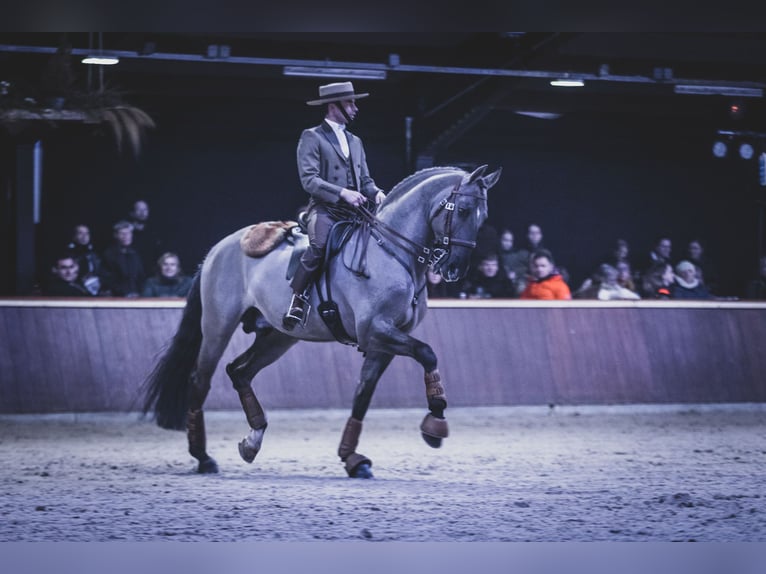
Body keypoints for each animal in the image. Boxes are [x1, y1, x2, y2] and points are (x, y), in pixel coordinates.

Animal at [143, 164, 504, 480]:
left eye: (484, 217)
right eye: (463, 210)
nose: (455, 269)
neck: (391, 253)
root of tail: (219, 248)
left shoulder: (386, 341)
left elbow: (363, 394)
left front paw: (352, 458)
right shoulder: (375, 331)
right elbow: (428, 353)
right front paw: (435, 423)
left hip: (279, 337)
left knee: (239, 371)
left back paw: (252, 440)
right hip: (218, 327)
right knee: (200, 380)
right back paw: (203, 457)